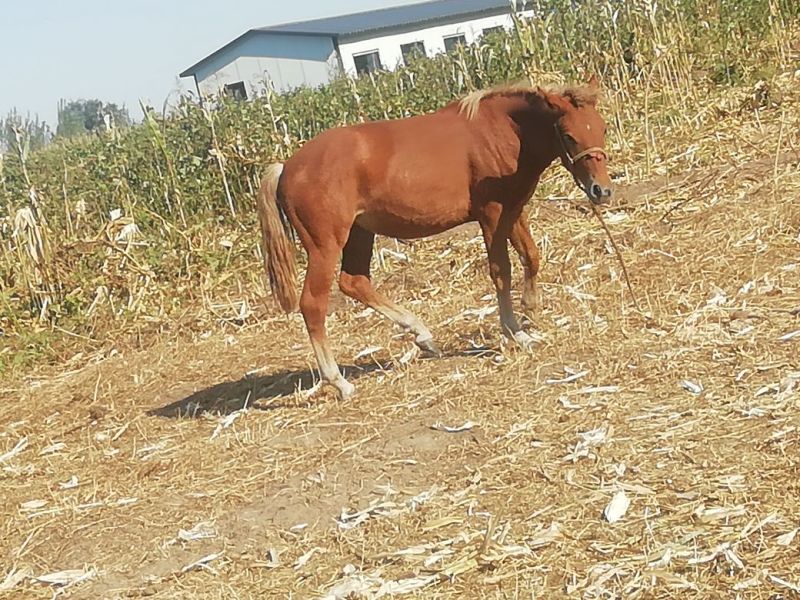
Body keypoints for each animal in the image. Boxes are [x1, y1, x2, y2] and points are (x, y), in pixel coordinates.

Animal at [256, 75, 613, 399]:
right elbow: (501, 271)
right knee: (313, 304)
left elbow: (531, 256)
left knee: (354, 282)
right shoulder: (491, 214)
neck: (500, 131)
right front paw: (514, 332)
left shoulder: (513, 210)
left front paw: (530, 311)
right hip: (325, 245)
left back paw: (422, 335)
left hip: (360, 233)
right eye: (568, 135)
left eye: (602, 128)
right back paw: (339, 382)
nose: (602, 190)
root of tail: (286, 167)